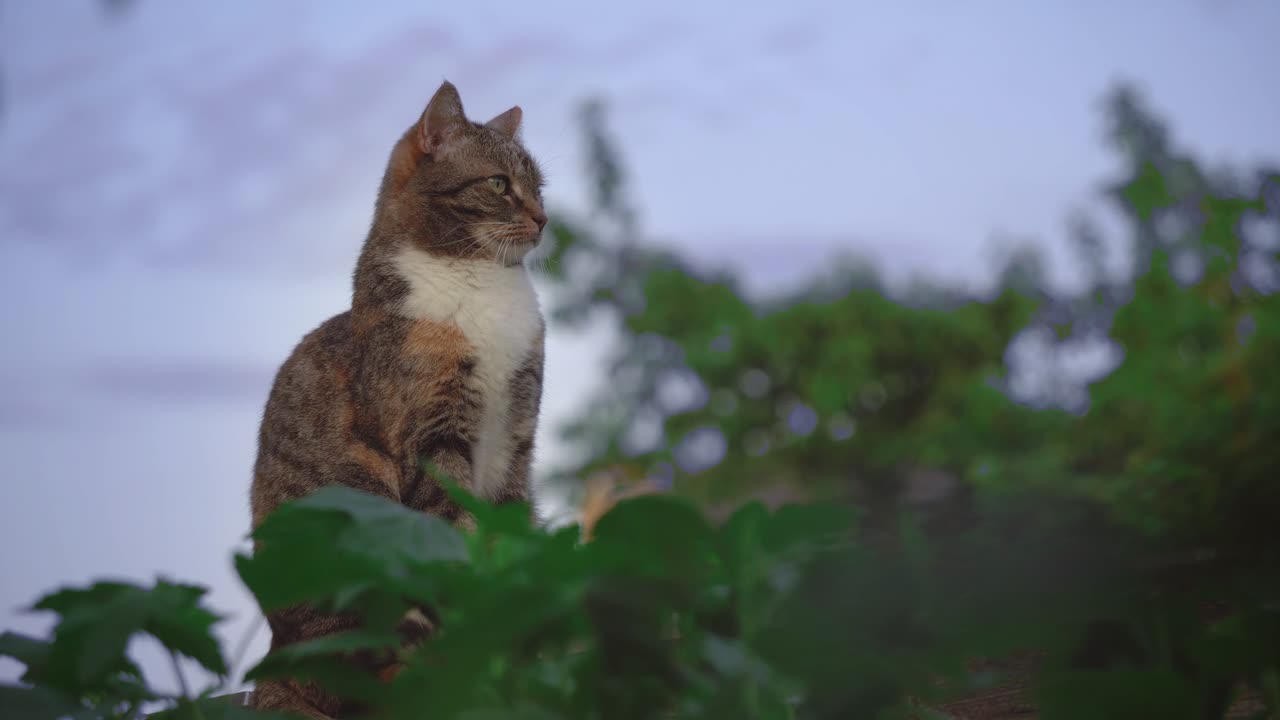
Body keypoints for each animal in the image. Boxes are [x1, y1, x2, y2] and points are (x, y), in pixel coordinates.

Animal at [247, 81, 547, 712]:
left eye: (540, 187)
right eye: (498, 185)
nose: (543, 218)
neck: (482, 285)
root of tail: (275, 661)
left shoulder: (517, 440)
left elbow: (511, 534)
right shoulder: (437, 438)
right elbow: (451, 533)